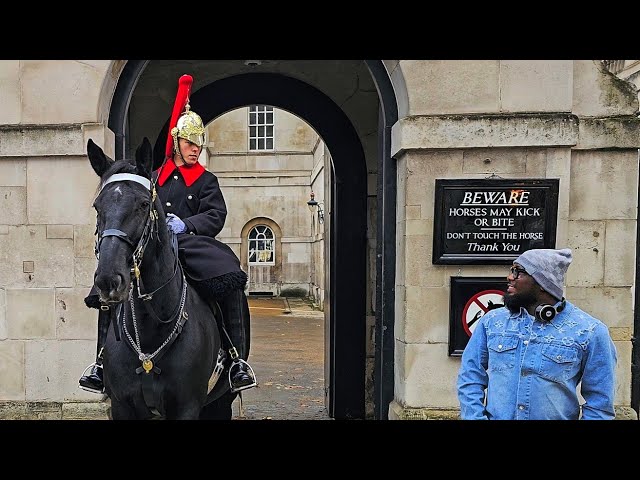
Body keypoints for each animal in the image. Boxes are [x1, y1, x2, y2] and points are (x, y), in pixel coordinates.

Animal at [87, 137, 240, 418]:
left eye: (143, 204)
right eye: (97, 206)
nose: (109, 280)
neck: (151, 328)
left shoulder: (187, 406)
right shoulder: (121, 405)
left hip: (220, 401)